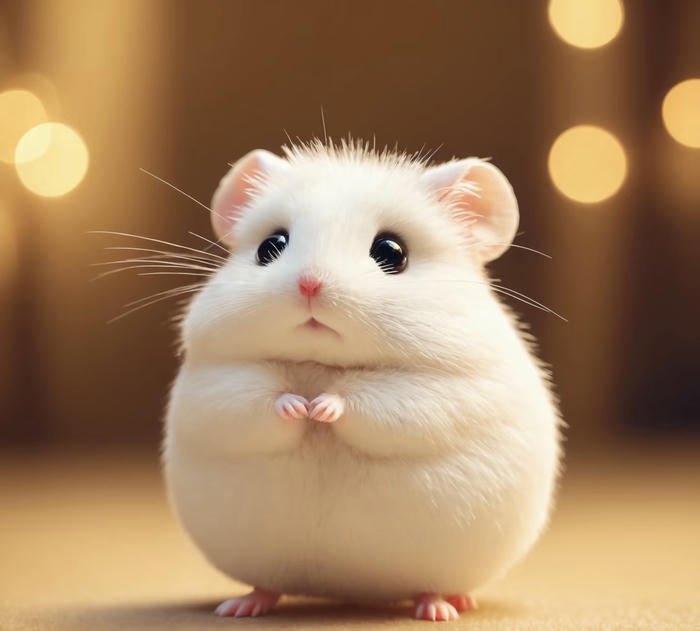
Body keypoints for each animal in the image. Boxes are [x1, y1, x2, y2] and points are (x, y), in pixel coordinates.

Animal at [162, 140, 561, 622]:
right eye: (270, 246)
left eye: (391, 252)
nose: (309, 285)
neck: (322, 364)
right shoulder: (218, 380)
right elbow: (256, 401)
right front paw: (300, 407)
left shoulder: (435, 391)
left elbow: (371, 402)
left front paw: (321, 408)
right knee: (266, 586)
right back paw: (241, 606)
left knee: (430, 587)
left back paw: (442, 608)